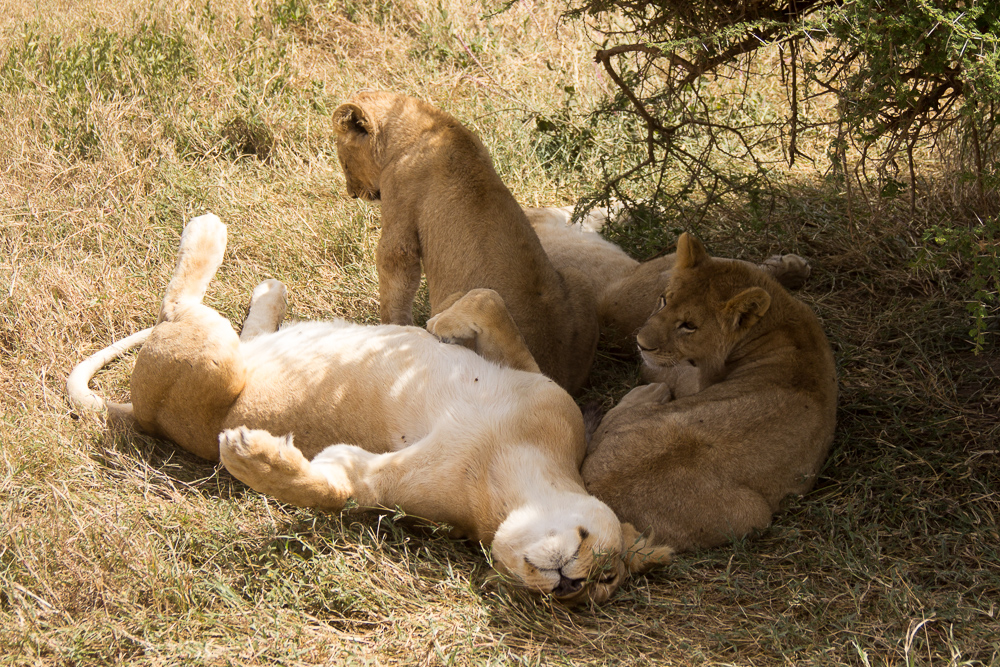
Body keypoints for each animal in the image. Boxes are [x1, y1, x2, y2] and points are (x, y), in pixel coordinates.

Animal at [70, 213, 672, 604]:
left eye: (601, 585)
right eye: (595, 556)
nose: (571, 582)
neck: (508, 475)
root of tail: (140, 414)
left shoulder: (376, 481)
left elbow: (331, 488)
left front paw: (255, 459)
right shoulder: (540, 384)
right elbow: (490, 301)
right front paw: (440, 323)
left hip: (215, 365)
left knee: (185, 312)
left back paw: (237, 266)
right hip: (220, 360)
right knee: (188, 309)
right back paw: (230, 252)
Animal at [336, 91, 596, 394]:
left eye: (344, 162)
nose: (352, 193)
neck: (427, 126)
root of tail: (554, 374)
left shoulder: (399, 219)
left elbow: (395, 282)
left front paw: (390, 331)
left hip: (453, 304)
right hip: (578, 278)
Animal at [580, 232, 836, 552]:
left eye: (689, 325)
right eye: (664, 300)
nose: (641, 343)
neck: (785, 324)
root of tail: (596, 489)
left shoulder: (690, 378)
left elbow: (660, 369)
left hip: (752, 516)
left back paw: (649, 392)